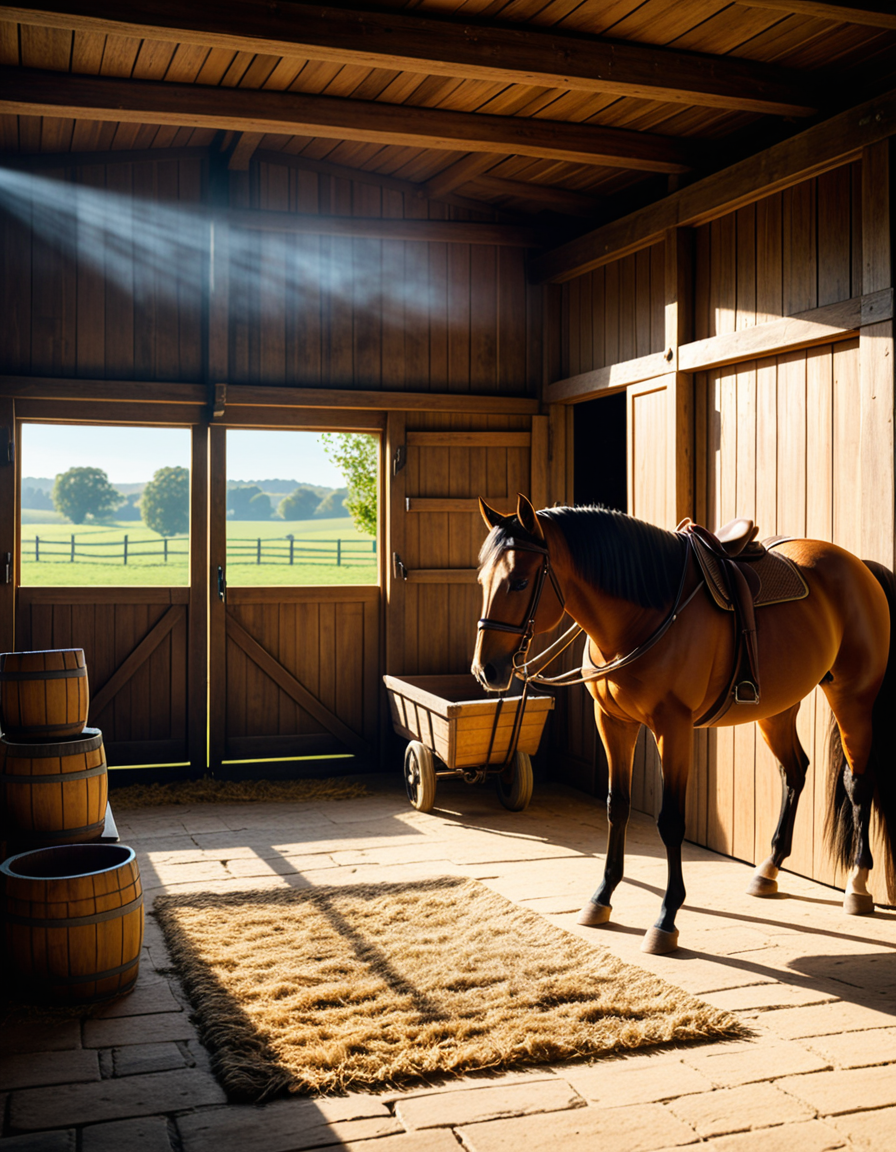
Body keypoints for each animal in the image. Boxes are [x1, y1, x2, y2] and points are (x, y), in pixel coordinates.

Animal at [471, 494, 896, 954]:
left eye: (518, 582)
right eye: (482, 579)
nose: (486, 670)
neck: (642, 615)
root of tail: (857, 565)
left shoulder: (671, 729)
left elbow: (671, 821)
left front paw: (666, 920)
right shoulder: (613, 723)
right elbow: (616, 807)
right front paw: (601, 899)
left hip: (852, 698)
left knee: (858, 783)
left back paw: (858, 884)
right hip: (777, 708)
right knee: (794, 771)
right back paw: (768, 869)